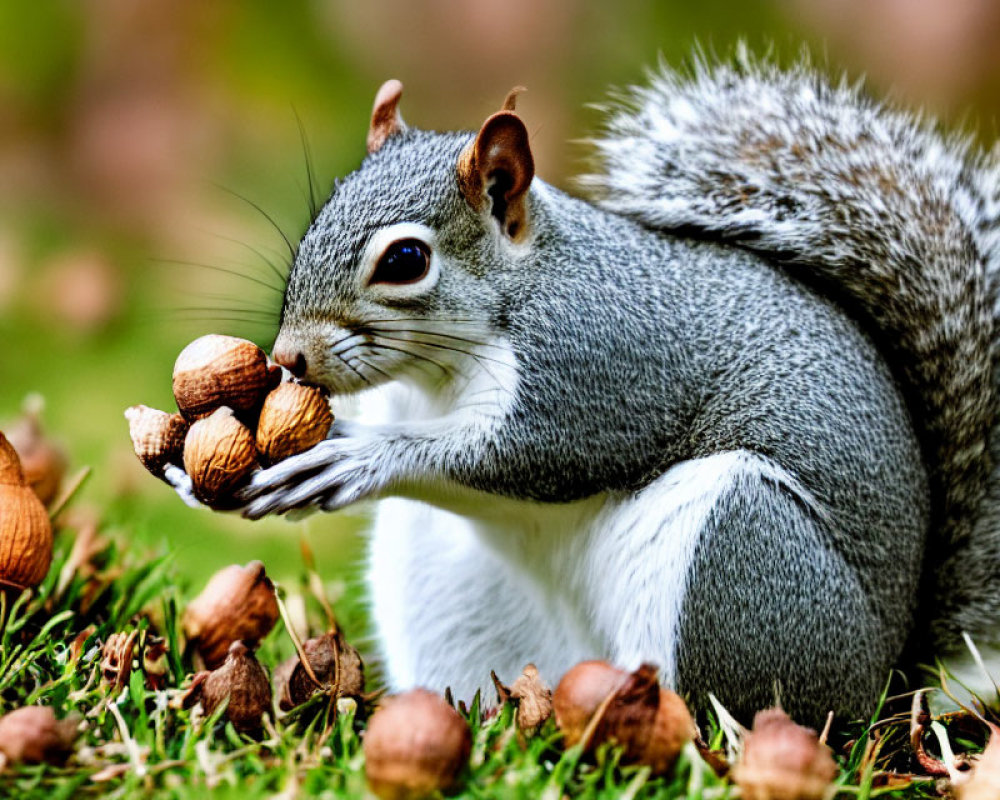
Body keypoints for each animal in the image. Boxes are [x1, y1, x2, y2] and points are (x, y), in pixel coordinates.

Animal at [168, 48, 1000, 724]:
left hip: (746, 555)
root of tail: (886, 682)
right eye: (319, 219)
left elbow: (535, 455)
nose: (290, 358)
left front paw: (361, 455)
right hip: (445, 586)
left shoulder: (599, 367)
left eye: (405, 260)